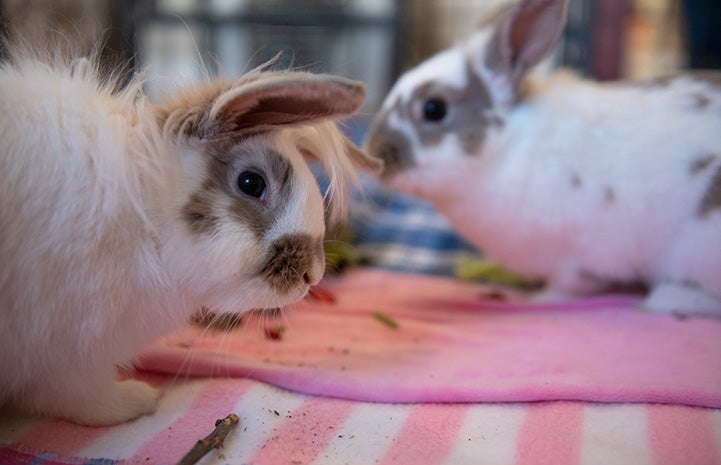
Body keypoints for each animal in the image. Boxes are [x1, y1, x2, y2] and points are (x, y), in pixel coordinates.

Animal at [0, 40, 382, 424]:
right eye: (251, 183)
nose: (312, 275)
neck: (142, 205)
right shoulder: (67, 348)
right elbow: (79, 397)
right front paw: (138, 400)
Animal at [368, 0, 720, 318]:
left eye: (434, 108)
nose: (375, 154)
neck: (506, 149)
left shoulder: (580, 257)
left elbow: (568, 286)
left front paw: (537, 299)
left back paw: (665, 300)